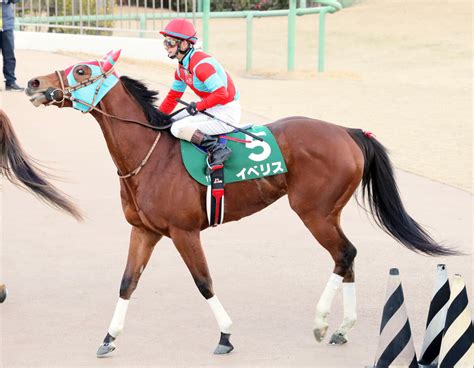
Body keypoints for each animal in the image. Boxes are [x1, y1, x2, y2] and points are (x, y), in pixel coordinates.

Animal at [24, 51, 454, 356]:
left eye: (82, 70)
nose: (32, 82)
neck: (149, 153)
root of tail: (348, 132)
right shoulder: (144, 230)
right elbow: (128, 282)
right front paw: (109, 338)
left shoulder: (184, 232)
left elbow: (204, 282)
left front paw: (226, 335)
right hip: (328, 213)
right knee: (345, 257)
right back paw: (341, 329)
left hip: (313, 212)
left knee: (344, 253)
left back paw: (320, 324)